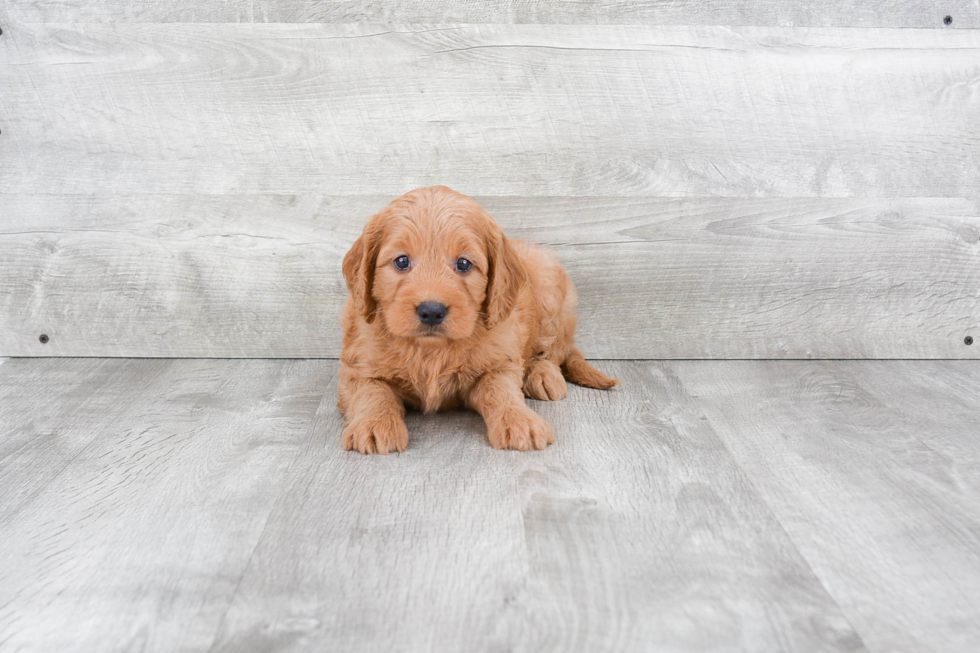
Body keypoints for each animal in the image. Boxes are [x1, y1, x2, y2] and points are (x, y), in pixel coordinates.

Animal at [336, 185, 612, 454]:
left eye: (463, 264)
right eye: (402, 261)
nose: (431, 311)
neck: (430, 350)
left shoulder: (499, 361)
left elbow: (501, 390)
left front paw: (518, 420)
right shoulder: (358, 367)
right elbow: (372, 391)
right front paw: (375, 424)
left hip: (549, 289)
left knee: (553, 350)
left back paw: (542, 375)